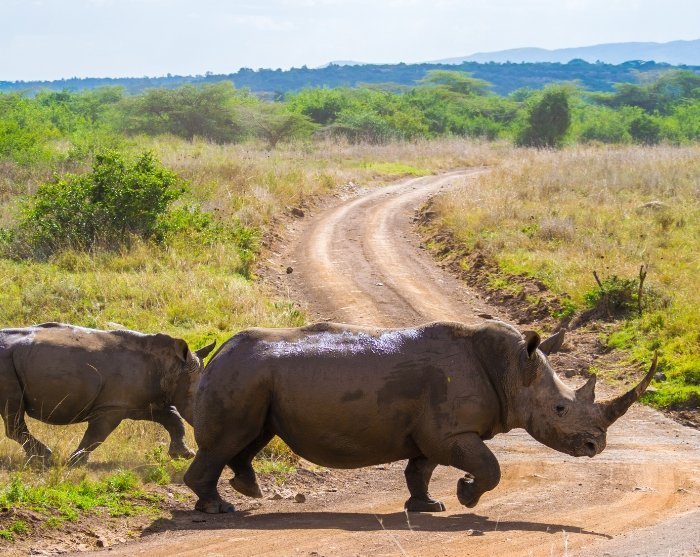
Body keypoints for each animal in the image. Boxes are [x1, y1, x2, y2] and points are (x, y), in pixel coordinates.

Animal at [0, 322, 216, 465]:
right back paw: (45, 457)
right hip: (7, 362)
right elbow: (96, 435)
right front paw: (74, 462)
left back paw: (39, 457)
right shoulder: (112, 406)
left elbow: (173, 417)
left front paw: (184, 454)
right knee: (13, 411)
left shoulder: (140, 402)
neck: (173, 368)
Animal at [184, 320, 656, 514]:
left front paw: (429, 505)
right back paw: (219, 507)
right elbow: (490, 466)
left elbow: (420, 469)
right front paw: (466, 495)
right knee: (230, 439)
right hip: (243, 373)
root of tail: (217, 352)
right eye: (560, 409)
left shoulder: (434, 432)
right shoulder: (451, 431)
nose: (596, 446)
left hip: (253, 377)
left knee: (252, 435)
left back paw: (247, 489)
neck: (511, 370)